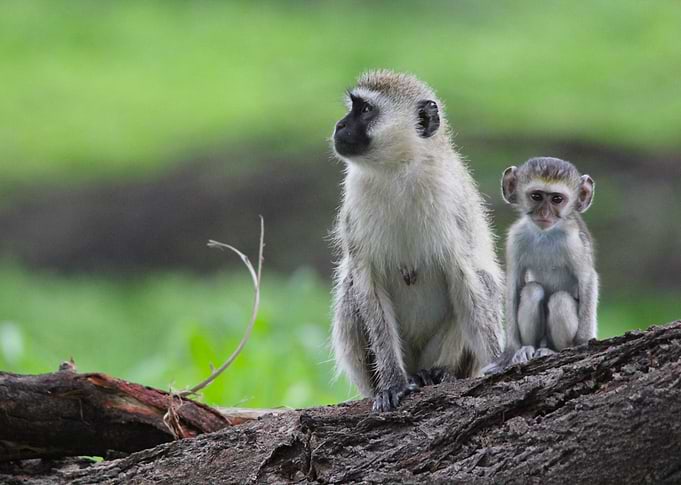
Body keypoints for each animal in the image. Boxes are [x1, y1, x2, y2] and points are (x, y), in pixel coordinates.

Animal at [330, 70, 504, 412]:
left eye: (365, 110)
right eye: (352, 108)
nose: (339, 125)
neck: (398, 171)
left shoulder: (452, 202)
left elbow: (465, 277)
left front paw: (502, 362)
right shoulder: (354, 199)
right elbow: (366, 281)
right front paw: (392, 382)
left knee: (483, 281)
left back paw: (440, 373)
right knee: (350, 288)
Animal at [482, 157, 599, 374]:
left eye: (557, 199)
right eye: (536, 196)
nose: (544, 213)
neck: (545, 234)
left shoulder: (574, 241)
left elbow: (588, 280)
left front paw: (582, 344)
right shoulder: (516, 238)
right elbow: (514, 285)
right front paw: (509, 353)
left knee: (560, 299)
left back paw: (554, 350)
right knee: (532, 290)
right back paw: (528, 348)